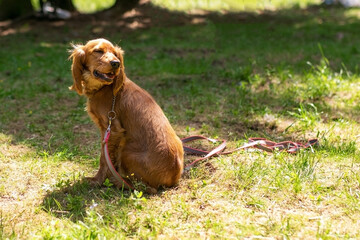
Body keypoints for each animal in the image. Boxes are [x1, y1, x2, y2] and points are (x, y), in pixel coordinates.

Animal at [69, 38, 184, 192]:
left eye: (115, 53)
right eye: (98, 51)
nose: (116, 63)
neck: (105, 88)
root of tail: (173, 179)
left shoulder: (112, 129)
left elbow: (104, 159)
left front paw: (98, 180)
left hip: (127, 151)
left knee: (148, 188)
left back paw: (120, 182)